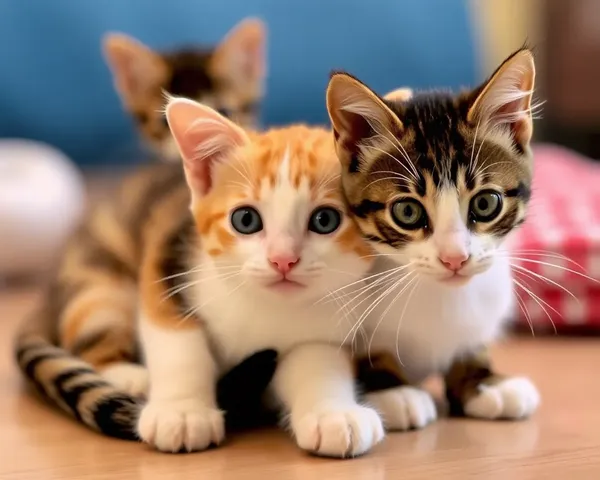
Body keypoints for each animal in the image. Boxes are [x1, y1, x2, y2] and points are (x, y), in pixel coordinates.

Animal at [134, 98, 382, 458]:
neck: (264, 307)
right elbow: (177, 342)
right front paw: (182, 411)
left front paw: (334, 414)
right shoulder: (167, 259)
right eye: (246, 220)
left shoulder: (322, 328)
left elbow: (317, 362)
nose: (283, 259)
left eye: (325, 220)